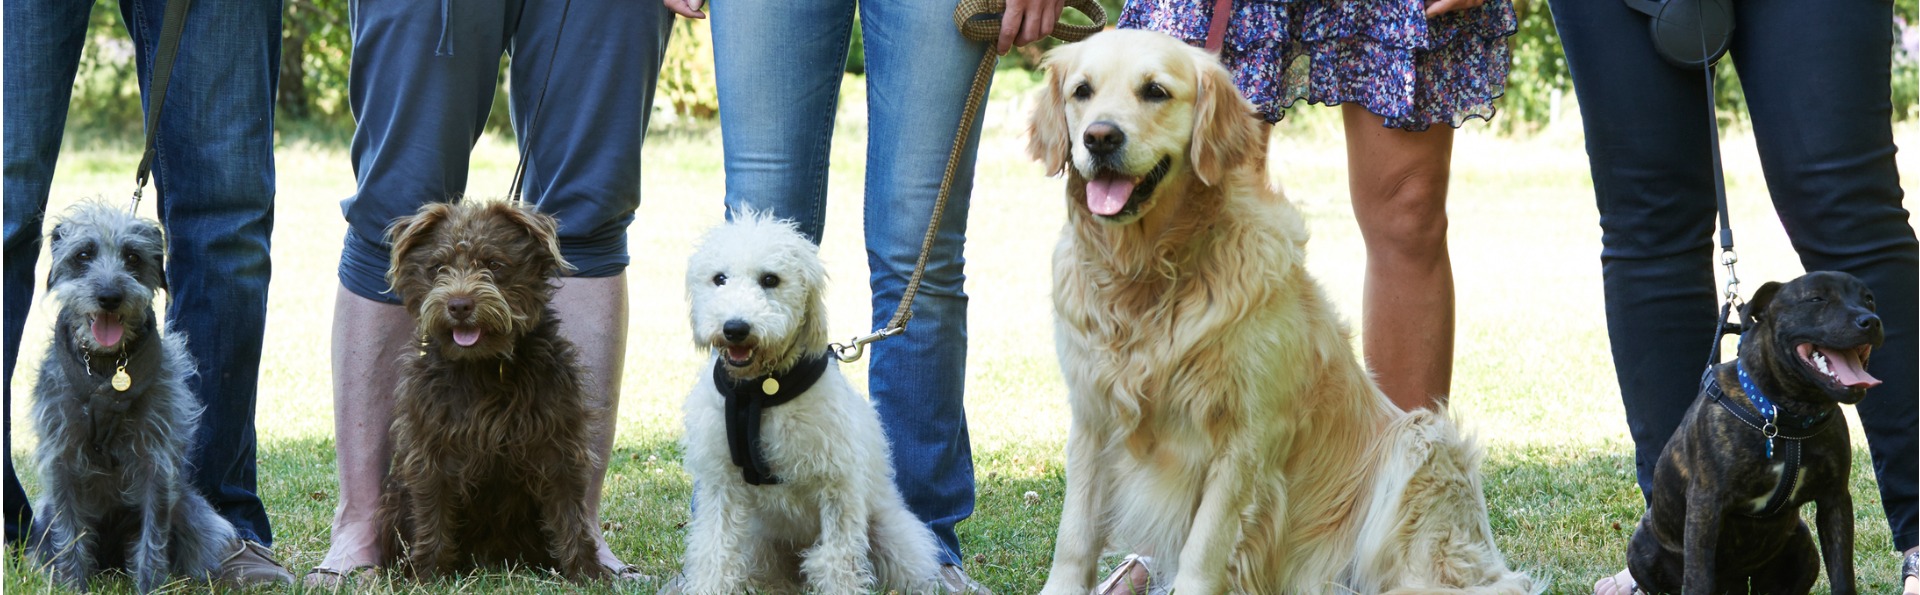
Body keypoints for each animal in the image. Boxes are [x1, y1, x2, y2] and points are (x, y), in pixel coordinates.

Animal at [27, 202, 235, 591]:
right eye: (83, 255)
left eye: (133, 257)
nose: (110, 297)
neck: (107, 368)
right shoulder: (62, 458)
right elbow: (69, 531)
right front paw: (73, 585)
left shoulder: (156, 461)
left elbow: (153, 534)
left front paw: (150, 586)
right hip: (42, 515)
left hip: (196, 515)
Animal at [679, 213, 940, 595]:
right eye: (719, 279)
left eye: (770, 279)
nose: (735, 328)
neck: (762, 392)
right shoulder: (720, 483)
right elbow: (716, 549)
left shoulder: (837, 485)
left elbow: (836, 560)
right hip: (759, 547)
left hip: (894, 536)